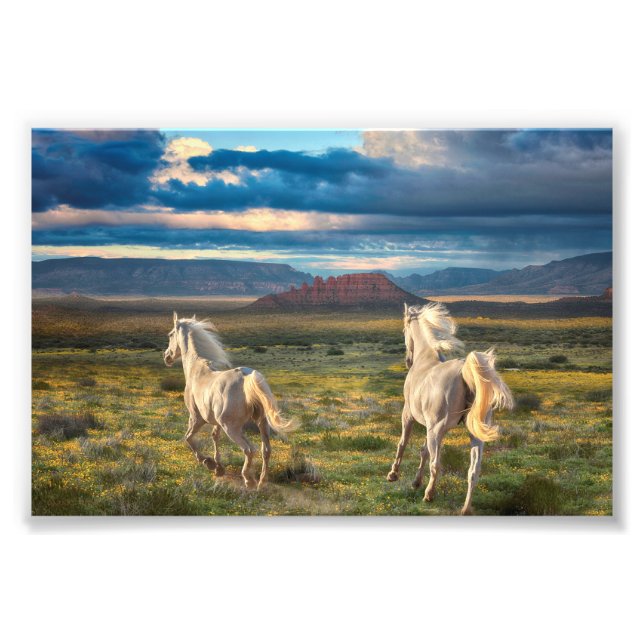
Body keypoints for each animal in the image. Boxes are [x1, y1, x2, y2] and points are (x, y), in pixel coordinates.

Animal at [163, 312, 292, 489]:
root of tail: (247, 378)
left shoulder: (196, 418)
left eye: (170, 334)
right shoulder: (215, 422)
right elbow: (214, 437)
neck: (197, 371)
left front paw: (208, 462)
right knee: (266, 450)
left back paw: (248, 479)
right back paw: (262, 482)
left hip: (231, 427)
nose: (166, 356)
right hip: (262, 423)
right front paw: (218, 468)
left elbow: (188, 438)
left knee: (249, 449)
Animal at [386, 302, 514, 514]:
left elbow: (403, 443)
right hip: (473, 434)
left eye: (404, 329)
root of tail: (464, 373)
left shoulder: (409, 415)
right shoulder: (431, 427)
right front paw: (415, 482)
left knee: (436, 464)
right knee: (473, 471)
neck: (425, 359)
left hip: (436, 430)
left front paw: (393, 474)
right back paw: (465, 509)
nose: (408, 361)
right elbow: (423, 451)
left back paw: (429, 495)